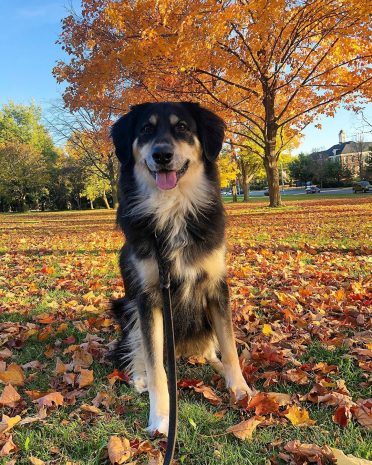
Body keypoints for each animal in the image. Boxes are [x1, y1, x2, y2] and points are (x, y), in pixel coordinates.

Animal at [109, 101, 251, 436]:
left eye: (183, 127)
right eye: (146, 129)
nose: (162, 155)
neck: (172, 208)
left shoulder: (216, 287)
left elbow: (229, 346)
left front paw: (239, 387)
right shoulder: (147, 297)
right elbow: (156, 366)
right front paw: (161, 416)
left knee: (210, 349)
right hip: (127, 307)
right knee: (138, 350)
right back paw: (139, 377)